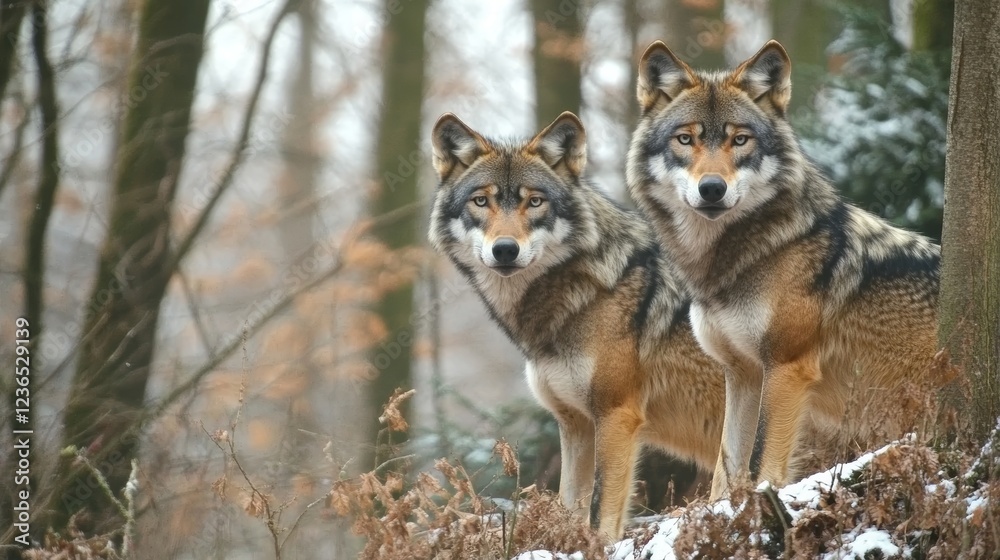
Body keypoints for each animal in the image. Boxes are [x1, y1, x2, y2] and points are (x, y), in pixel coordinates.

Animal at [428, 112, 726, 538]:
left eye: (535, 201)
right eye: (481, 201)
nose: (505, 249)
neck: (582, 295)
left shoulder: (617, 417)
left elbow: (601, 513)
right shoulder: (575, 426)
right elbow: (570, 507)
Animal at [626, 40, 942, 499]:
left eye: (740, 139)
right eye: (686, 139)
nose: (712, 188)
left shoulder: (786, 369)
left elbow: (763, 464)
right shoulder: (740, 375)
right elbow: (725, 470)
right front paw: (722, 509)